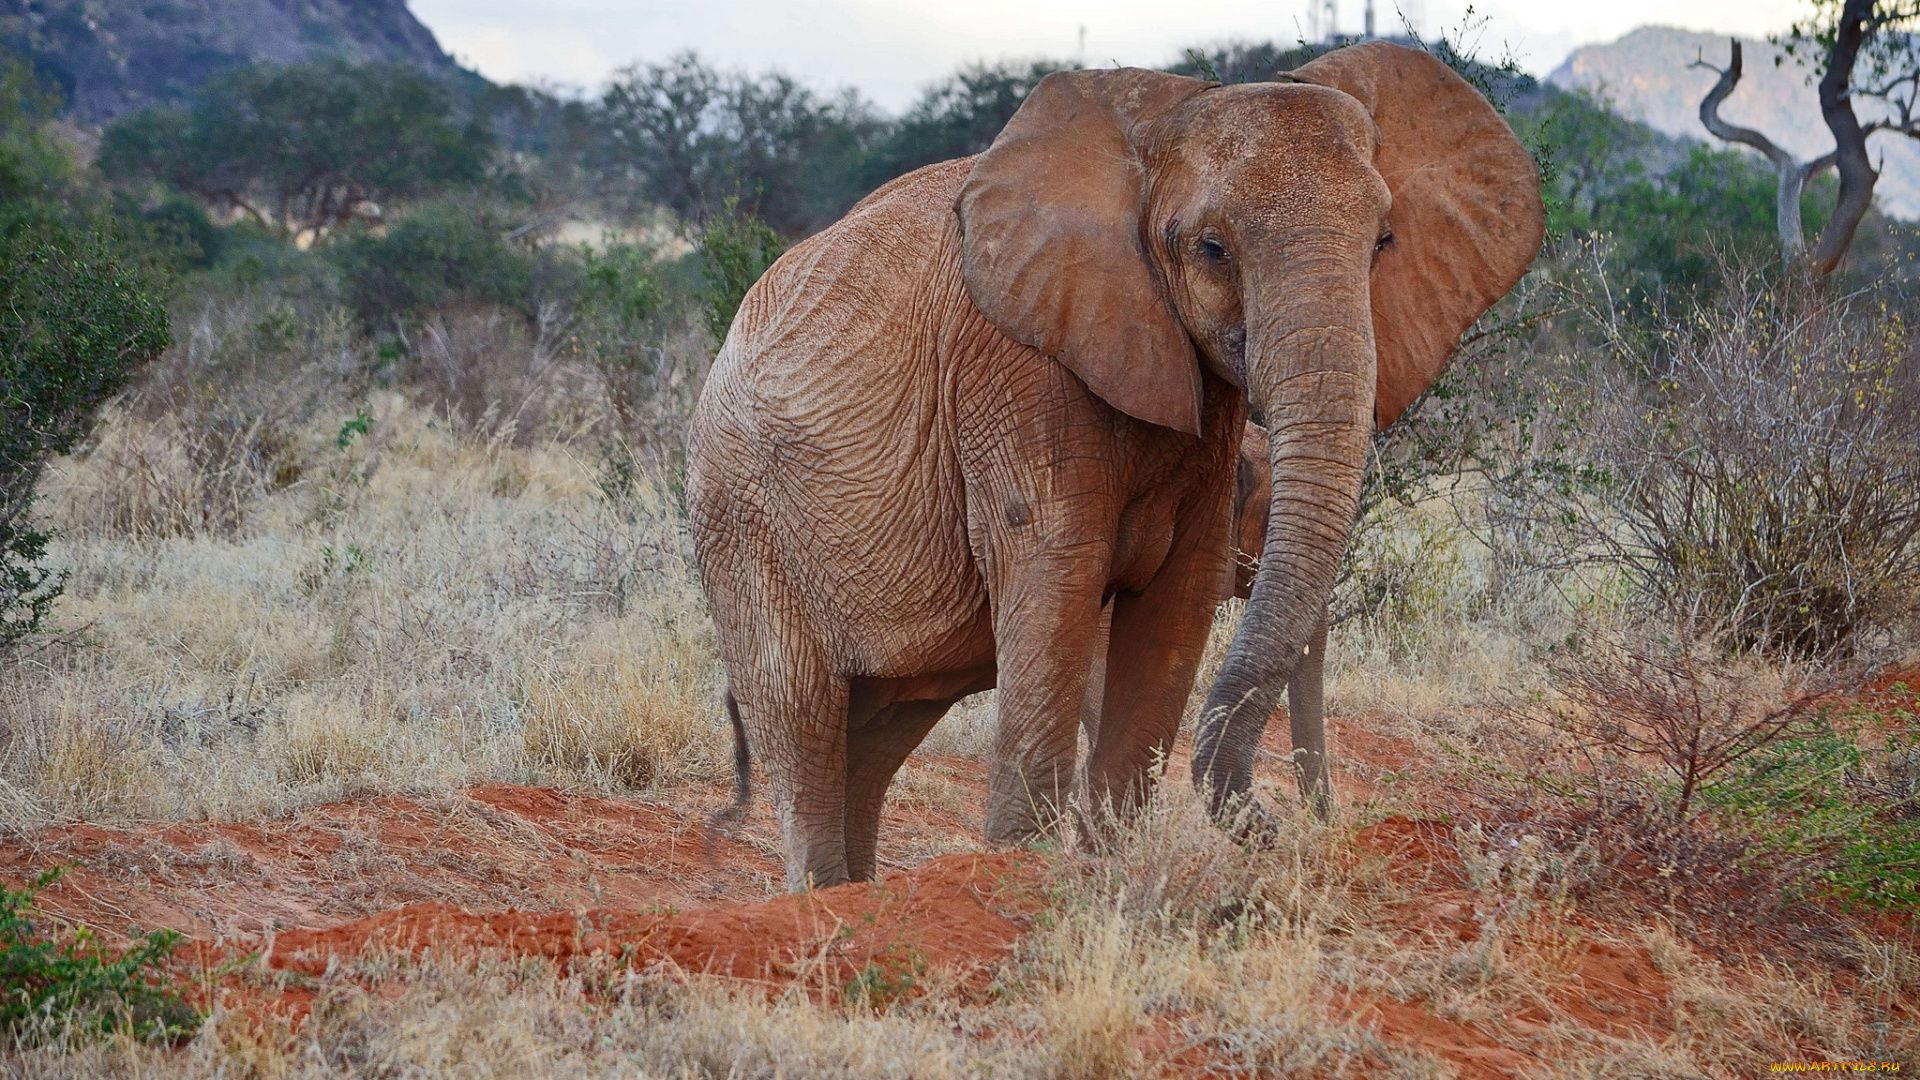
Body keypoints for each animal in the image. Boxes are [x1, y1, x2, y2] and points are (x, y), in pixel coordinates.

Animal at [683, 39, 1536, 891]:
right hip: (738, 518)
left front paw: (1109, 865)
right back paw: (821, 894)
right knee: (802, 720)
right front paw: (1025, 872)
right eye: (1212, 249)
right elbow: (1059, 576)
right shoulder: (1015, 370)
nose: (1286, 827)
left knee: (880, 730)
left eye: (1384, 242)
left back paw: (860, 895)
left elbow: (1177, 605)